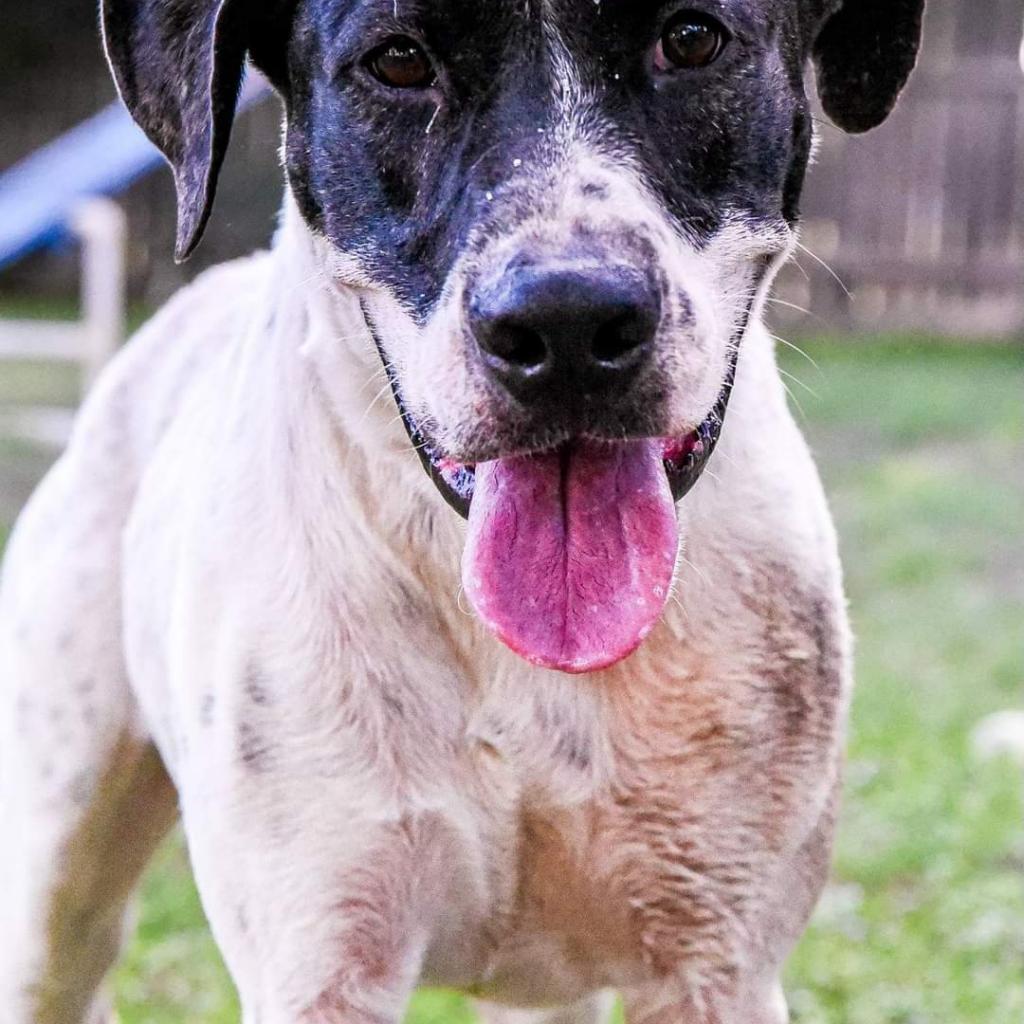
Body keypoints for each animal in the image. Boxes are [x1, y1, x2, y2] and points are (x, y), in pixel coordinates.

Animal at [0, 2, 925, 1024]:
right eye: (399, 61)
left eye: (692, 40)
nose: (567, 320)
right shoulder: (320, 957)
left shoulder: (716, 962)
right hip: (56, 882)